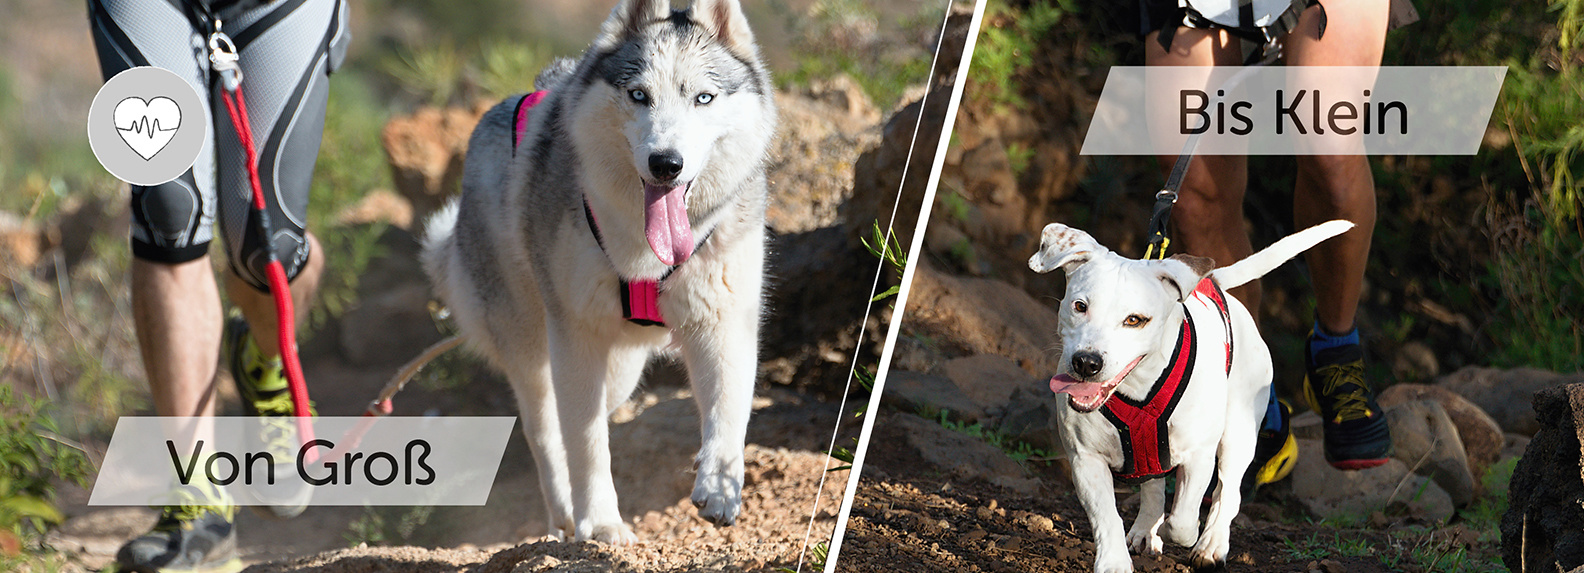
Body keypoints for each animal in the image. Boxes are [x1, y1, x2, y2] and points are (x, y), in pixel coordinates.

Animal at [424, 0, 776, 544]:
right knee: (548, 434)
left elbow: (729, 414)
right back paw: (565, 518)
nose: (666, 163)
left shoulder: (724, 324)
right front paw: (603, 523)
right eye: (638, 95)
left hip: (622, 369)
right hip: (533, 351)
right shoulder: (577, 337)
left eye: (703, 97)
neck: (647, 257)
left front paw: (719, 488)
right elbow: (585, 444)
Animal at [1032, 218, 1355, 569]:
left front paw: (1186, 536)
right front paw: (1114, 562)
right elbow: (1107, 517)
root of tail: (1215, 282)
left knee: (1227, 494)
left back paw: (1211, 544)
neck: (1137, 388)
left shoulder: (1199, 456)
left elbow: (1183, 520)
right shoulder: (1085, 458)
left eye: (1134, 320)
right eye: (1080, 306)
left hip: (1238, 435)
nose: (1086, 363)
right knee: (1154, 486)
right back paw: (1146, 531)